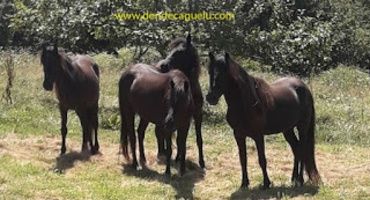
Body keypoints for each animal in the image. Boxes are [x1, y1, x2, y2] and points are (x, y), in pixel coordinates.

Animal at [155, 34, 204, 169]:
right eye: (170, 49)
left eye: (180, 51)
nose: (163, 66)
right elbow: (179, 139)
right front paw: (177, 158)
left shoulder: (197, 115)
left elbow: (197, 139)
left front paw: (201, 162)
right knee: (159, 132)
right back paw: (162, 152)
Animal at [205, 52, 320, 188]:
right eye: (210, 72)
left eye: (224, 73)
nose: (210, 97)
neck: (246, 103)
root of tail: (304, 87)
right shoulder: (238, 135)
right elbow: (243, 159)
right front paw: (244, 183)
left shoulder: (258, 135)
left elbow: (262, 159)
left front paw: (266, 183)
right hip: (287, 129)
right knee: (296, 148)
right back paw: (294, 178)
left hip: (302, 127)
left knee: (301, 149)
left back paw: (300, 180)